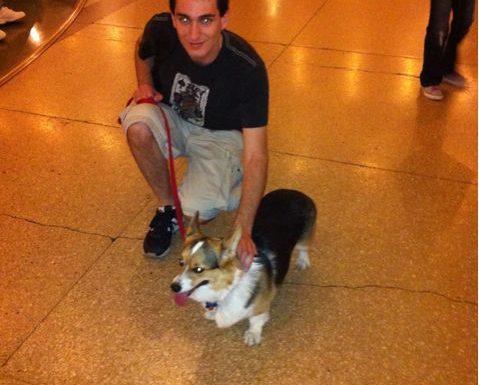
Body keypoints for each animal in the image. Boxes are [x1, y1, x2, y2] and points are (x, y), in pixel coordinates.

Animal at [171, 189, 316, 344]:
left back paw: (302, 261)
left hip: (304, 237)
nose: (174, 287)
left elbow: (256, 320)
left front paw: (252, 335)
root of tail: (294, 191)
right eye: (180, 262)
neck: (229, 288)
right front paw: (212, 313)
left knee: (304, 248)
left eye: (198, 269)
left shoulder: (261, 307)